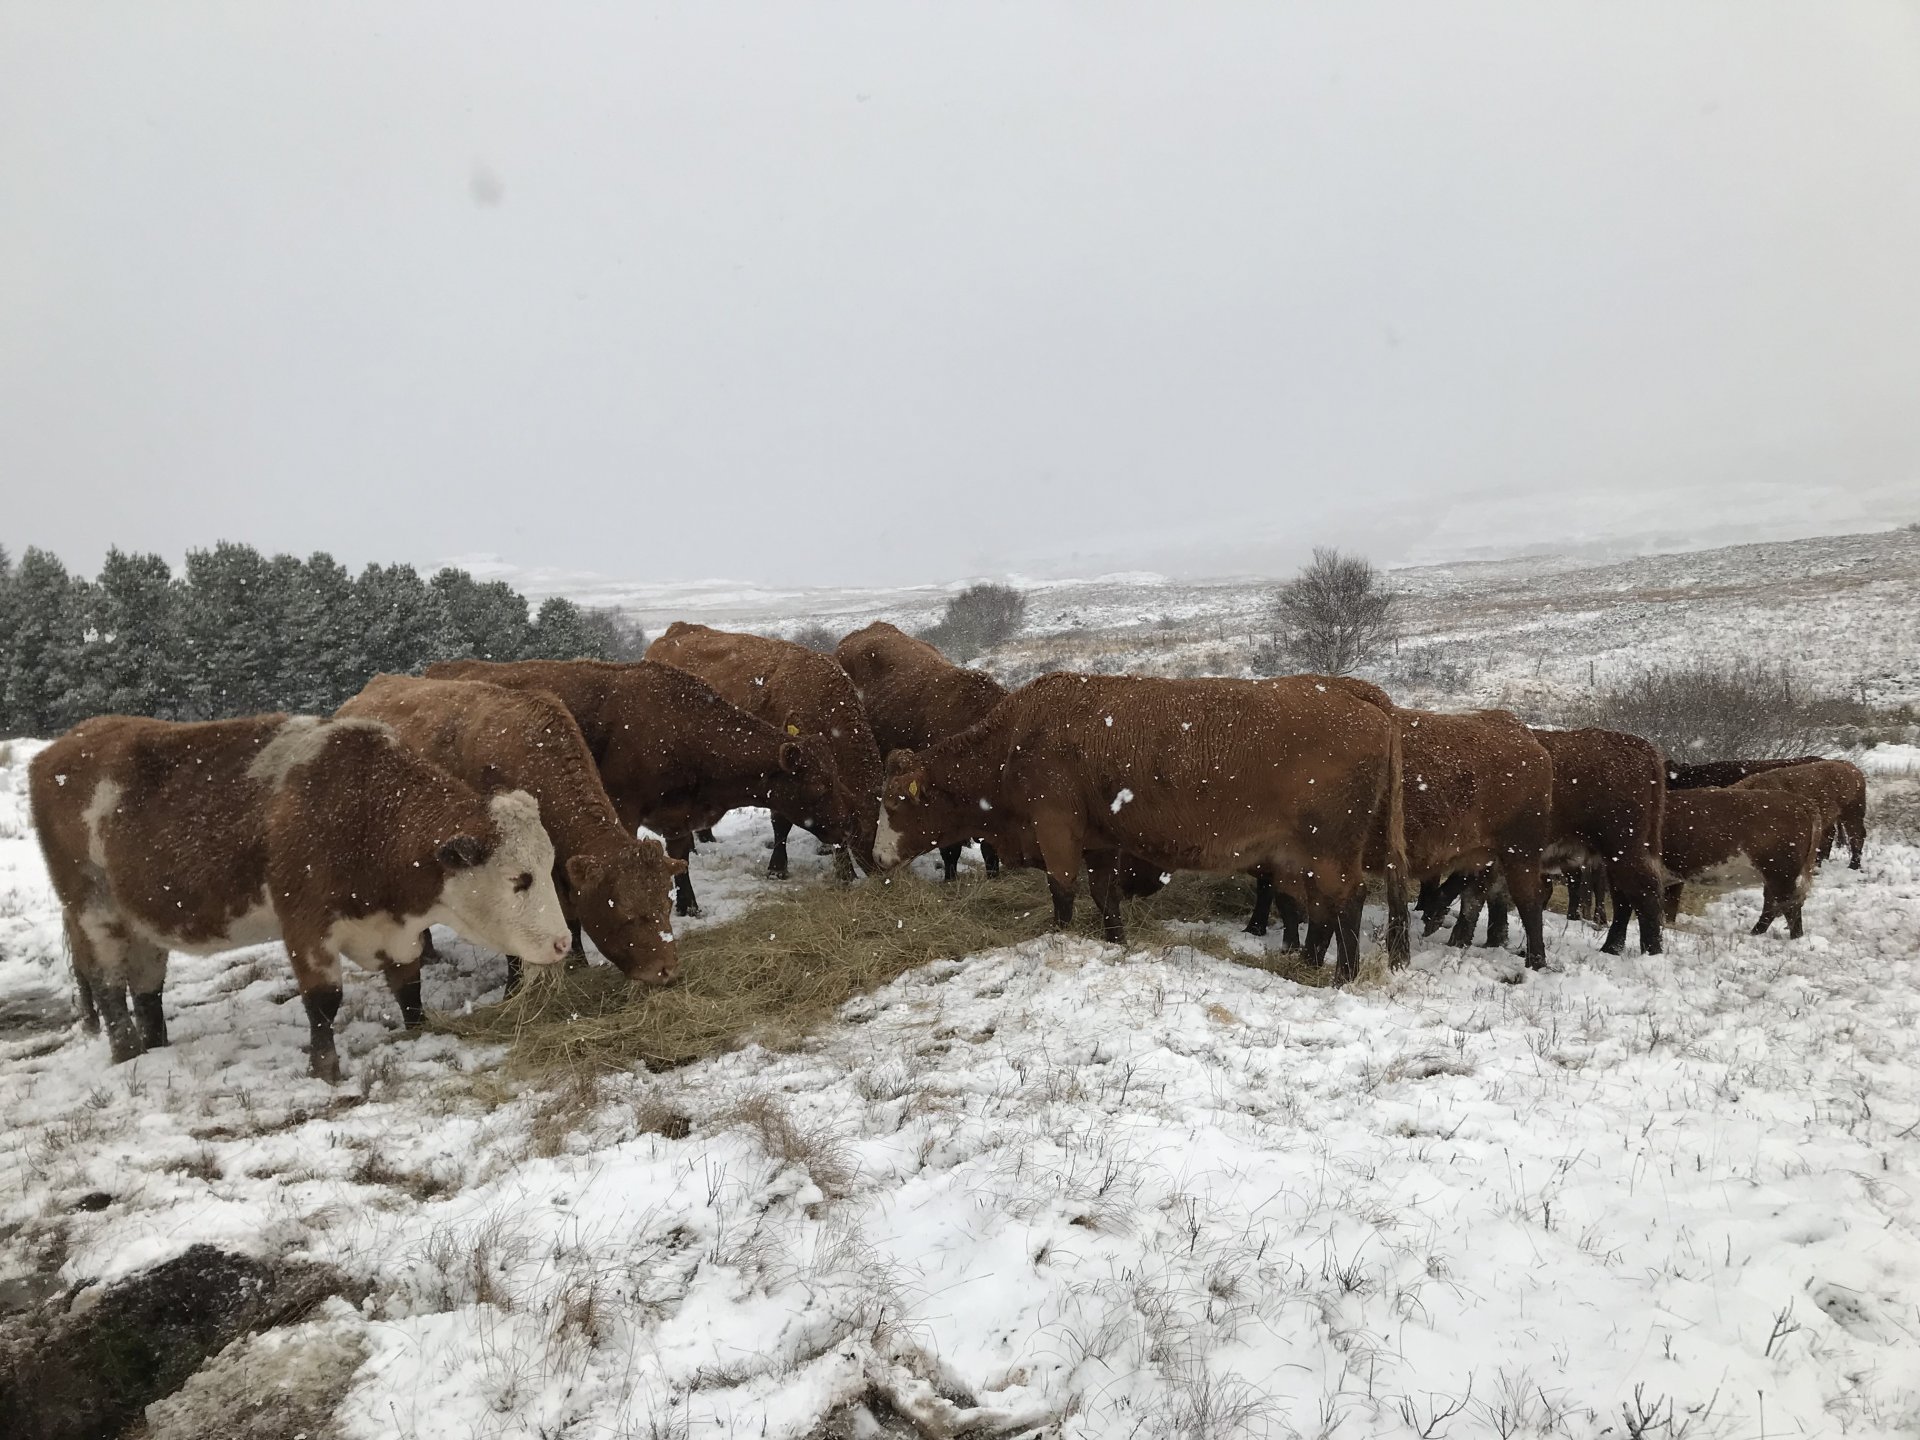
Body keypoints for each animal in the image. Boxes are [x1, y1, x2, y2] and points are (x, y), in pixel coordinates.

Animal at [29, 714, 571, 1080]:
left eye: (549, 866)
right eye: (519, 878)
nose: (564, 942)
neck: (366, 810)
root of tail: (59, 749)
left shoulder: (395, 931)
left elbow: (408, 986)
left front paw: (419, 1034)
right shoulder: (306, 925)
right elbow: (324, 1001)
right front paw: (325, 1070)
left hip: (141, 923)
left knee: (146, 990)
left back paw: (157, 1047)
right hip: (94, 914)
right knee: (105, 987)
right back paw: (128, 1055)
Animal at [426, 658, 862, 917]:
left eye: (838, 776)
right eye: (820, 785)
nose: (848, 825)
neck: (680, 727)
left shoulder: (678, 813)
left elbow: (680, 855)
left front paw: (689, 905)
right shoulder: (623, 808)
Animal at [873, 673, 1407, 984]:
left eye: (895, 802)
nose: (876, 856)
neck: (1015, 740)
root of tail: (1364, 702)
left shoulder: (1056, 829)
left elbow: (1062, 891)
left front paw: (1058, 941)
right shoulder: (1099, 841)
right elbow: (1104, 894)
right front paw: (1115, 943)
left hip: (1329, 849)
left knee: (1348, 901)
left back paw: (1342, 977)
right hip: (1307, 854)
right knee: (1321, 910)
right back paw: (1309, 963)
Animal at [1660, 787, 1823, 937]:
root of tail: (1798, 800)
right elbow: (1669, 908)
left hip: (1780, 874)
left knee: (1790, 906)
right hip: (1773, 877)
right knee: (1772, 905)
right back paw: (1754, 933)